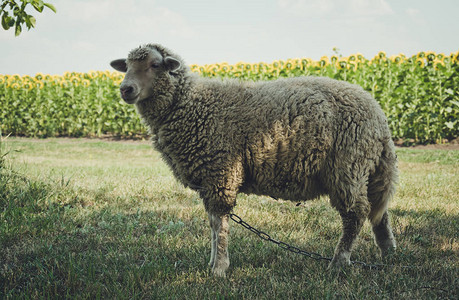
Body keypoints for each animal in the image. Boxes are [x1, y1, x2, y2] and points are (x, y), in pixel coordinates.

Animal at [111, 44, 398, 276]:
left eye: (155, 64)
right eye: (127, 66)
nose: (126, 89)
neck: (189, 104)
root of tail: (379, 116)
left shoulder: (221, 172)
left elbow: (219, 224)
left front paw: (219, 268)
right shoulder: (209, 179)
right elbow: (213, 224)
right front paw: (212, 263)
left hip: (347, 166)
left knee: (355, 214)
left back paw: (338, 262)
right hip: (367, 169)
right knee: (378, 213)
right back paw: (389, 254)